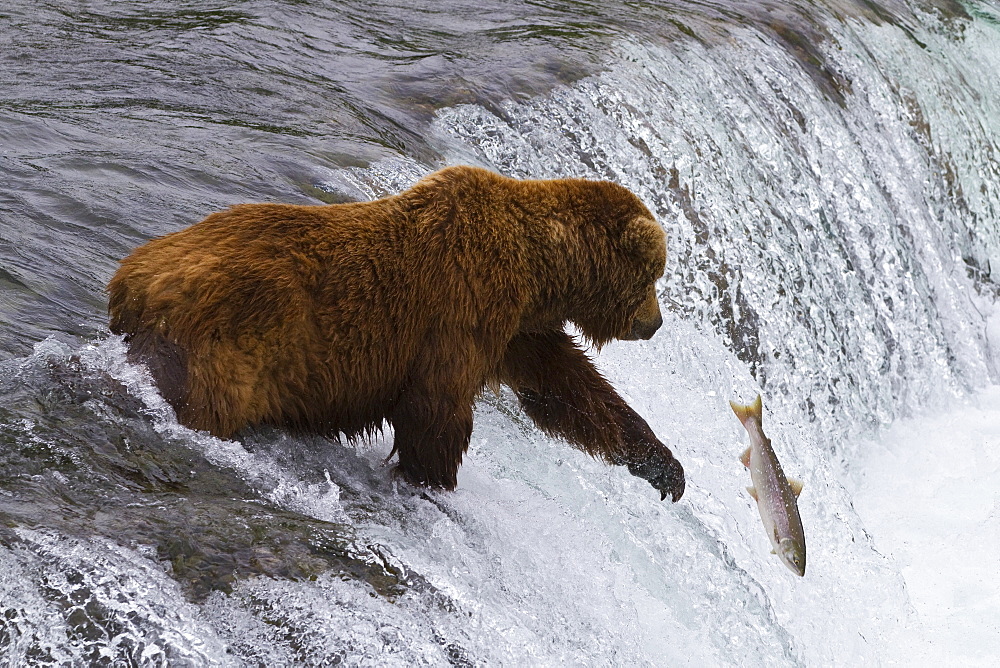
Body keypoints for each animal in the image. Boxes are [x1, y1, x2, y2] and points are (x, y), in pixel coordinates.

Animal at [111, 166, 688, 500]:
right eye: (653, 276)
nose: (655, 323)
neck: (538, 269)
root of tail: (132, 277)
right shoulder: (465, 308)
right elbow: (436, 409)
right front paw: (432, 480)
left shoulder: (519, 328)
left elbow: (568, 391)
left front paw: (664, 468)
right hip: (225, 343)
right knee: (207, 404)